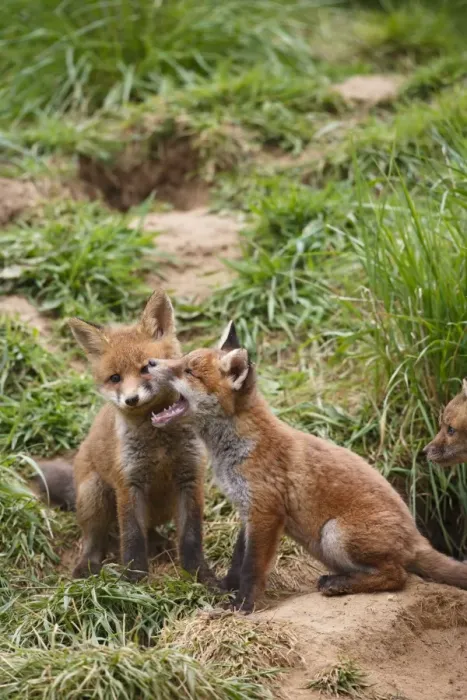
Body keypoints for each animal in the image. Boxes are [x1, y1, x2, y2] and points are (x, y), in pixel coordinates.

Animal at [36, 290, 214, 583]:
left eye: (146, 368)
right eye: (115, 378)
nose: (131, 399)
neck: (158, 442)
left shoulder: (190, 478)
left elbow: (191, 537)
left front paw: (200, 574)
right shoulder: (128, 484)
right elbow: (131, 539)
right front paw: (134, 581)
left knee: (149, 529)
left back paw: (158, 542)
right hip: (95, 495)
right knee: (94, 538)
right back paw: (87, 565)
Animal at [148, 322, 467, 611]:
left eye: (188, 370)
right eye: (183, 359)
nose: (150, 362)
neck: (236, 451)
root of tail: (417, 536)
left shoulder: (266, 512)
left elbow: (252, 569)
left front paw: (242, 606)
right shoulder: (247, 511)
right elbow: (238, 562)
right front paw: (226, 588)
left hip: (335, 534)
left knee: (398, 576)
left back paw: (338, 584)